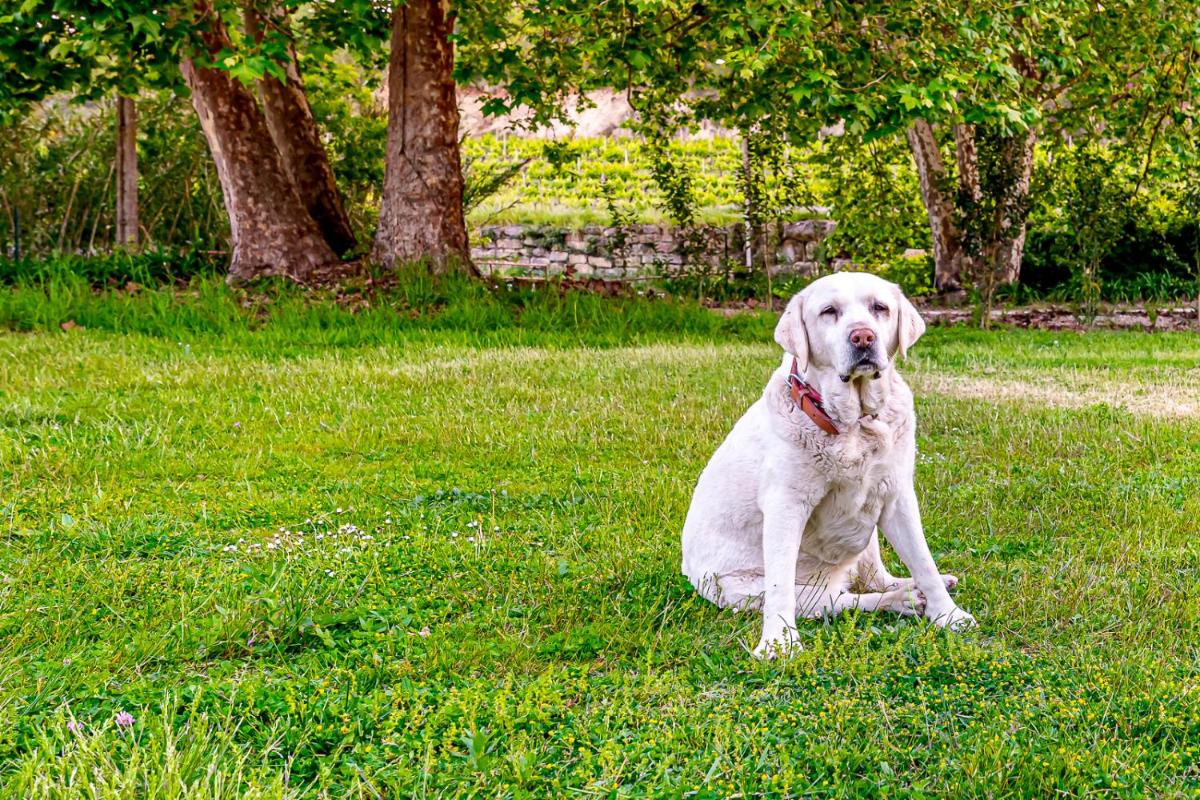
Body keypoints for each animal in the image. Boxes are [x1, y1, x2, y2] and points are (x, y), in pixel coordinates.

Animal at [681, 272, 969, 662]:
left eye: (880, 307)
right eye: (829, 311)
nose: (863, 337)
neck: (853, 424)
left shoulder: (896, 496)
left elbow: (923, 561)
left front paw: (949, 614)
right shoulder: (786, 507)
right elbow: (781, 587)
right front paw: (779, 642)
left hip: (868, 533)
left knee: (874, 577)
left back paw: (913, 589)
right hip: (747, 589)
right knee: (839, 599)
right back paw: (901, 600)